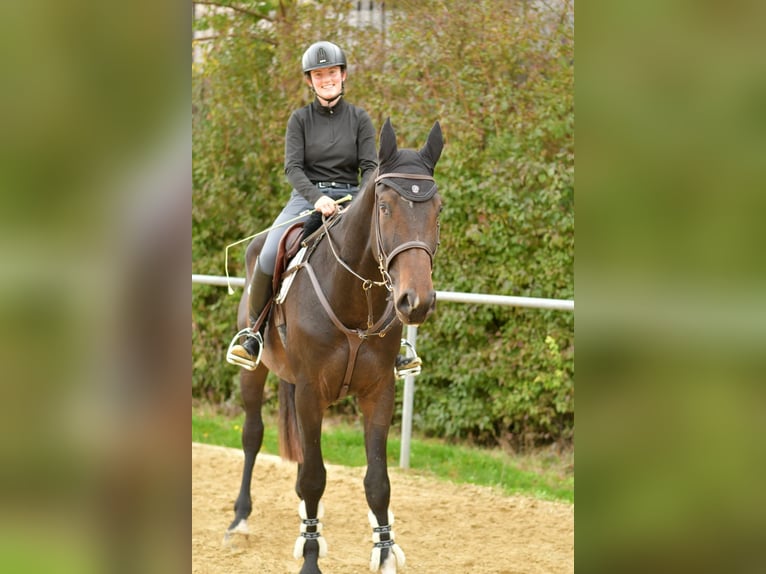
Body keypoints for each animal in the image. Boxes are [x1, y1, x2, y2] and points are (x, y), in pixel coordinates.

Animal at [225, 118, 443, 574]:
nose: (416, 301)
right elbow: (315, 478)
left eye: (438, 209)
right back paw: (240, 521)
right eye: (384, 207)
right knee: (253, 435)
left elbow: (378, 482)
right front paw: (311, 557)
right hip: (256, 372)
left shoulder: (379, 393)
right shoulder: (311, 392)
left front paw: (385, 553)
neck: (353, 297)